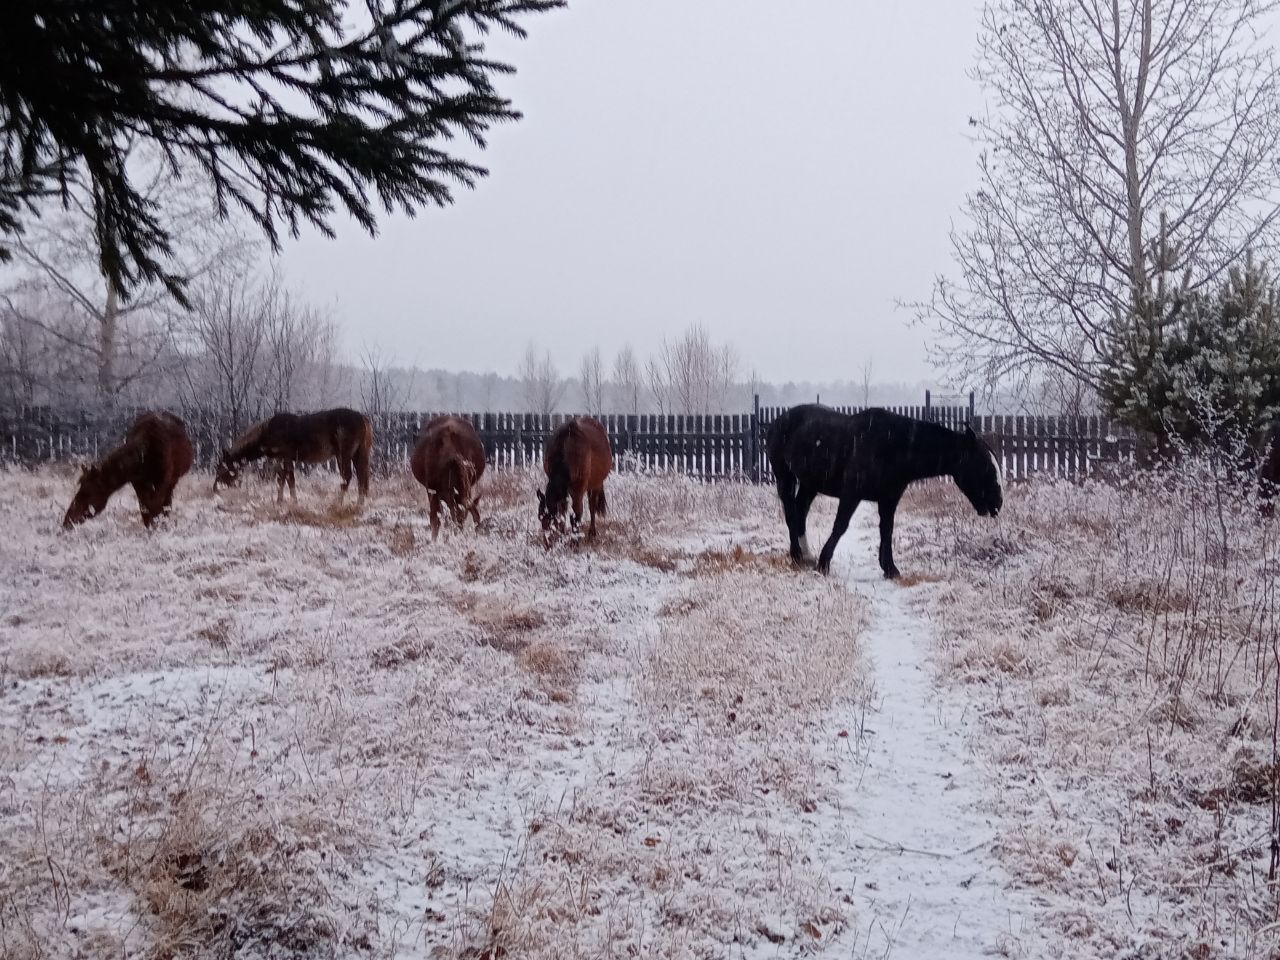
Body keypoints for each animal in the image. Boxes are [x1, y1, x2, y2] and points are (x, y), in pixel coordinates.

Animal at [63, 409, 194, 529]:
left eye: (88, 492)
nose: (67, 521)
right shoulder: (138, 484)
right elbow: (145, 509)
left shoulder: (162, 483)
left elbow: (155, 507)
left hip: (172, 481)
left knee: (167, 504)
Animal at [215, 409, 373, 506]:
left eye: (222, 469)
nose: (215, 489)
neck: (266, 434)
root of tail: (363, 419)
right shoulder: (280, 458)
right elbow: (281, 479)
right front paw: (279, 501)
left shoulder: (286, 456)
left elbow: (289, 479)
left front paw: (293, 502)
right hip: (359, 453)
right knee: (362, 477)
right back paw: (360, 503)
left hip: (343, 454)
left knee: (347, 476)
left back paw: (338, 502)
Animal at [762, 407, 1003, 578]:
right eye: (985, 467)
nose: (997, 504)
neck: (894, 445)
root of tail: (777, 421)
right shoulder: (851, 494)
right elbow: (840, 526)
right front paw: (824, 564)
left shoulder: (889, 499)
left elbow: (887, 530)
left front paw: (890, 568)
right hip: (785, 477)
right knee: (791, 513)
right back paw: (796, 554)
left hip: (810, 483)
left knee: (800, 511)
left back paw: (805, 553)